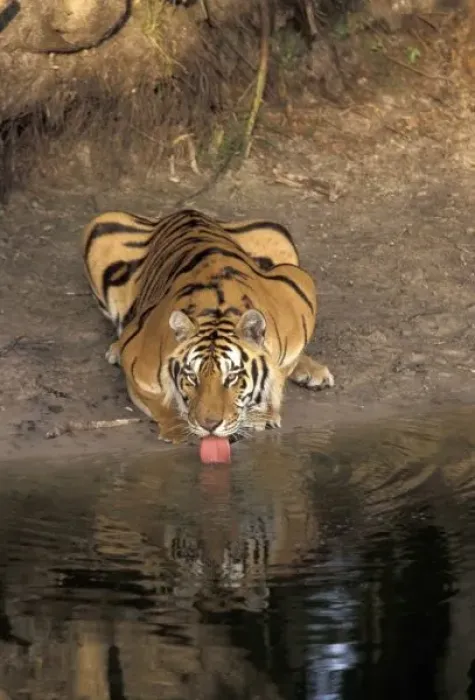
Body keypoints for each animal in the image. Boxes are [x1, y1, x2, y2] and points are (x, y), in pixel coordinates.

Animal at [81, 207, 334, 443]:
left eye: (231, 378)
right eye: (192, 377)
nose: (209, 424)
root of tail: (186, 211)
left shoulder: (298, 287)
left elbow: (280, 370)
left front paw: (264, 413)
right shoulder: (136, 359)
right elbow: (160, 400)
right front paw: (177, 430)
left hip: (276, 233)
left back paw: (314, 373)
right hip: (101, 227)